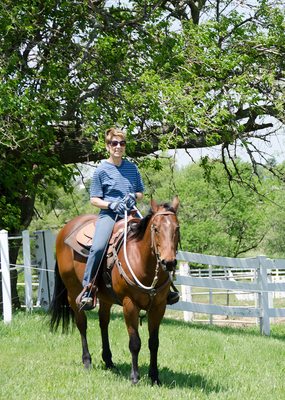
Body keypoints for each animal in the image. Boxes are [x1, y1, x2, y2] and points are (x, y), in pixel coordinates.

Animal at [48, 197, 178, 384]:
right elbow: (135, 342)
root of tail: (65, 229)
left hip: (105, 298)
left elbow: (154, 342)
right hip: (73, 293)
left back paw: (109, 361)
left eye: (177, 228)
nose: (169, 262)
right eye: (156, 228)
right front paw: (134, 377)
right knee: (82, 324)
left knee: (103, 323)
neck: (142, 261)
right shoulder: (129, 305)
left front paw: (154, 377)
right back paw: (87, 361)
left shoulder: (159, 306)